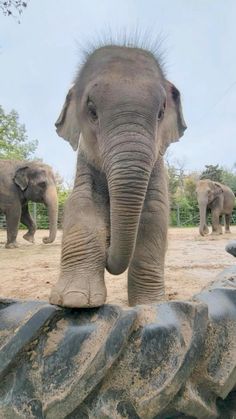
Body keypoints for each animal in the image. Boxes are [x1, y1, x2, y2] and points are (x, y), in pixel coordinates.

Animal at [49, 44, 186, 310]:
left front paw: (151, 305)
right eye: (92, 111)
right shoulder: (85, 158)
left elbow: (154, 212)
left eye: (161, 113)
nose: (107, 248)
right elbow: (83, 204)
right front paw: (75, 300)